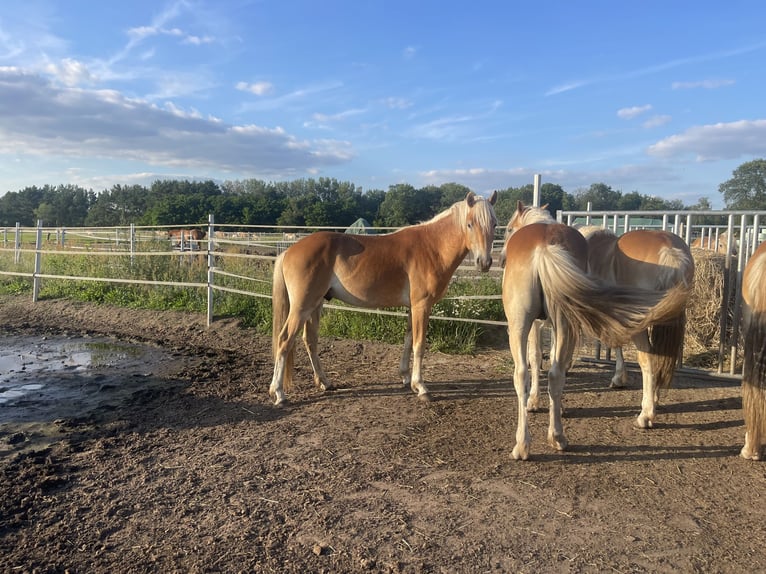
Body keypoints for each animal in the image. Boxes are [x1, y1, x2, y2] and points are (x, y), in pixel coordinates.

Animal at [268, 191, 498, 408]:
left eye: (494, 223)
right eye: (470, 224)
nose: (484, 262)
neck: (432, 247)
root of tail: (289, 251)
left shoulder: (412, 307)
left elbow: (408, 340)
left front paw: (406, 378)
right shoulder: (422, 305)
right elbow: (419, 344)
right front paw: (422, 388)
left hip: (315, 304)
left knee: (310, 340)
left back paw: (325, 382)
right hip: (302, 307)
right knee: (284, 340)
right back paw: (279, 393)